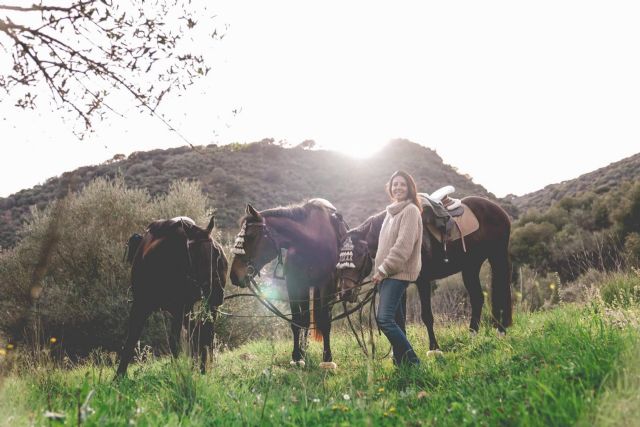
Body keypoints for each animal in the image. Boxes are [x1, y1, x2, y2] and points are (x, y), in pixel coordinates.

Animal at [116, 216, 229, 376]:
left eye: (216, 252)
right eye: (194, 254)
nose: (216, 292)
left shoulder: (179, 307)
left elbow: (176, 340)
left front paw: (178, 372)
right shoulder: (142, 304)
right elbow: (132, 337)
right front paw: (119, 376)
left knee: (205, 335)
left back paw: (202, 368)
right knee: (198, 334)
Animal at [230, 201, 348, 372]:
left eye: (250, 236)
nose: (234, 275)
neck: (310, 242)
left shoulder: (327, 284)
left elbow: (325, 321)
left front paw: (327, 359)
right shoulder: (294, 284)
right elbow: (297, 321)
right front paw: (297, 356)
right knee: (305, 318)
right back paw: (304, 350)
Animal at [338, 197, 512, 354]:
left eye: (359, 253)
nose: (345, 293)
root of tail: (497, 209)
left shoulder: (423, 281)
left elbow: (427, 316)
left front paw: (434, 349)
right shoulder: (400, 284)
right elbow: (399, 319)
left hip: (497, 257)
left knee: (501, 291)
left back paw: (501, 331)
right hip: (471, 267)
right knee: (478, 298)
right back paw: (473, 337)